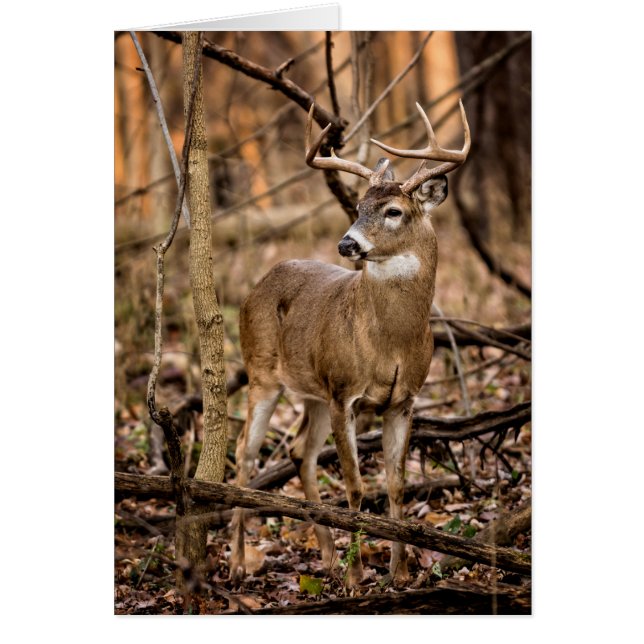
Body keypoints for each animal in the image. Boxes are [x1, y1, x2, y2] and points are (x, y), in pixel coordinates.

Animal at [230, 100, 470, 587]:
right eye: (358, 206)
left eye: (393, 211)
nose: (346, 243)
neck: (390, 343)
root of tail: (257, 286)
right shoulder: (346, 393)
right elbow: (356, 486)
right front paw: (358, 576)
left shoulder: (404, 400)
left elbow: (396, 485)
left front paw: (399, 573)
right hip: (262, 372)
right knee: (245, 453)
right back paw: (238, 564)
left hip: (314, 392)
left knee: (301, 453)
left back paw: (324, 556)